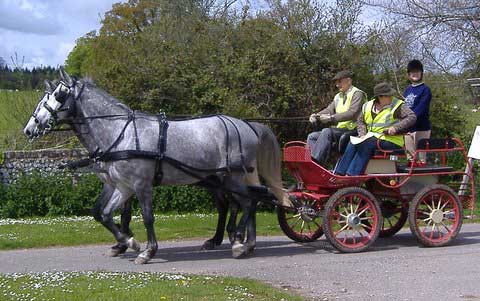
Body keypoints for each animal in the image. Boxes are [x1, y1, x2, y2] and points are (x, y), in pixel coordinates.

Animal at [24, 69, 290, 262]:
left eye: (58, 96)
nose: (29, 128)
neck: (120, 133)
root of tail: (247, 125)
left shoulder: (141, 185)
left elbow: (146, 216)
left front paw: (146, 250)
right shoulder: (121, 185)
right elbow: (104, 213)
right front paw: (127, 242)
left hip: (232, 178)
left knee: (249, 201)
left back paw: (239, 242)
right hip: (222, 179)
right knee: (242, 202)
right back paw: (241, 242)